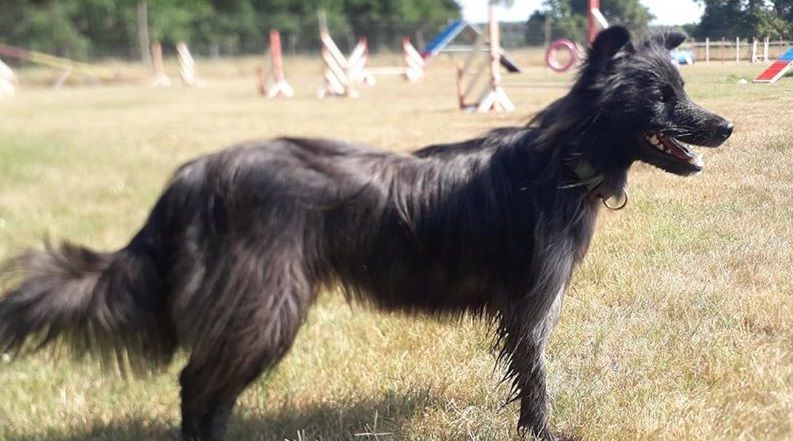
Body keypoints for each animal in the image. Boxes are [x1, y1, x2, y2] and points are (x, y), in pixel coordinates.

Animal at [0, 27, 732, 440]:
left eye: (681, 87)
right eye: (660, 96)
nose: (725, 126)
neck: (562, 158)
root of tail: (194, 175)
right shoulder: (531, 306)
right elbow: (538, 384)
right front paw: (543, 432)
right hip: (266, 307)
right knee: (196, 386)